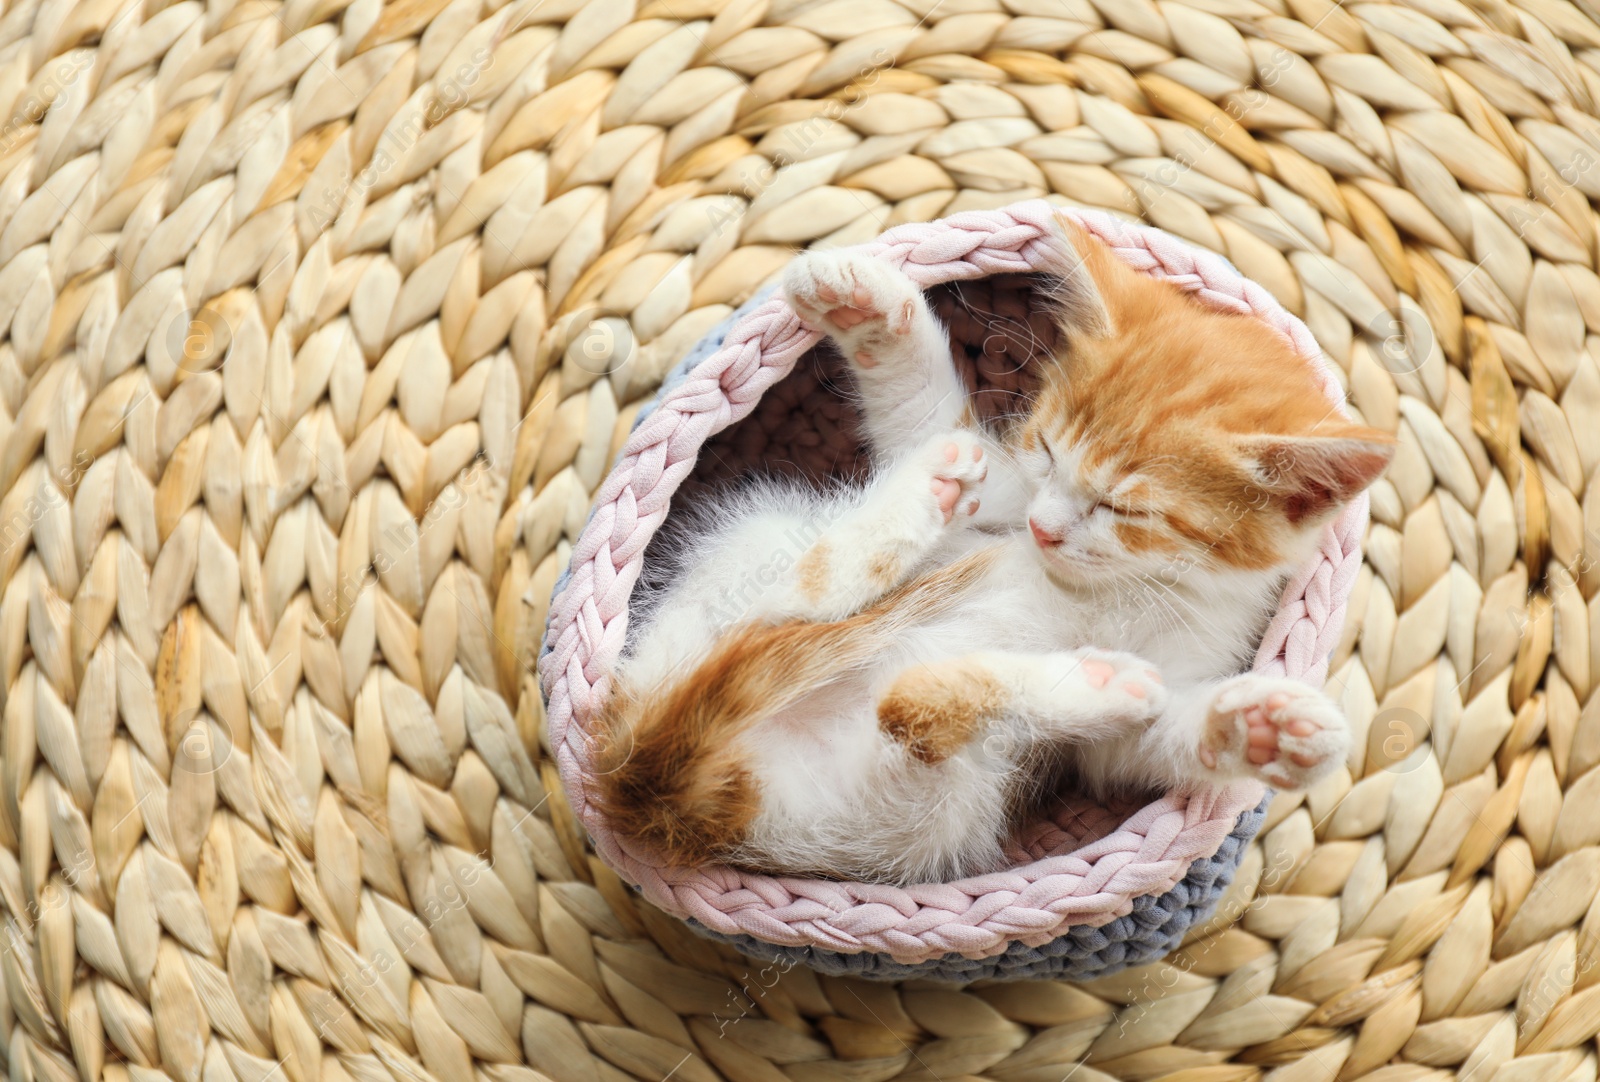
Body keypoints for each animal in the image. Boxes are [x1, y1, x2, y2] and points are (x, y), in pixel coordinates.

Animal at [595, 219, 1395, 889]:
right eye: (1044, 448)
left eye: (1125, 511)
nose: (1044, 530)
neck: (1106, 586)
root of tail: (650, 785)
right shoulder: (1002, 493)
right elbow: (923, 420)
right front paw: (870, 309)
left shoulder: (1163, 692)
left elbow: (1153, 741)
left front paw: (1261, 728)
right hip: (743, 565)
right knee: (793, 604)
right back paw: (929, 490)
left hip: (913, 813)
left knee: (908, 707)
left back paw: (1090, 682)